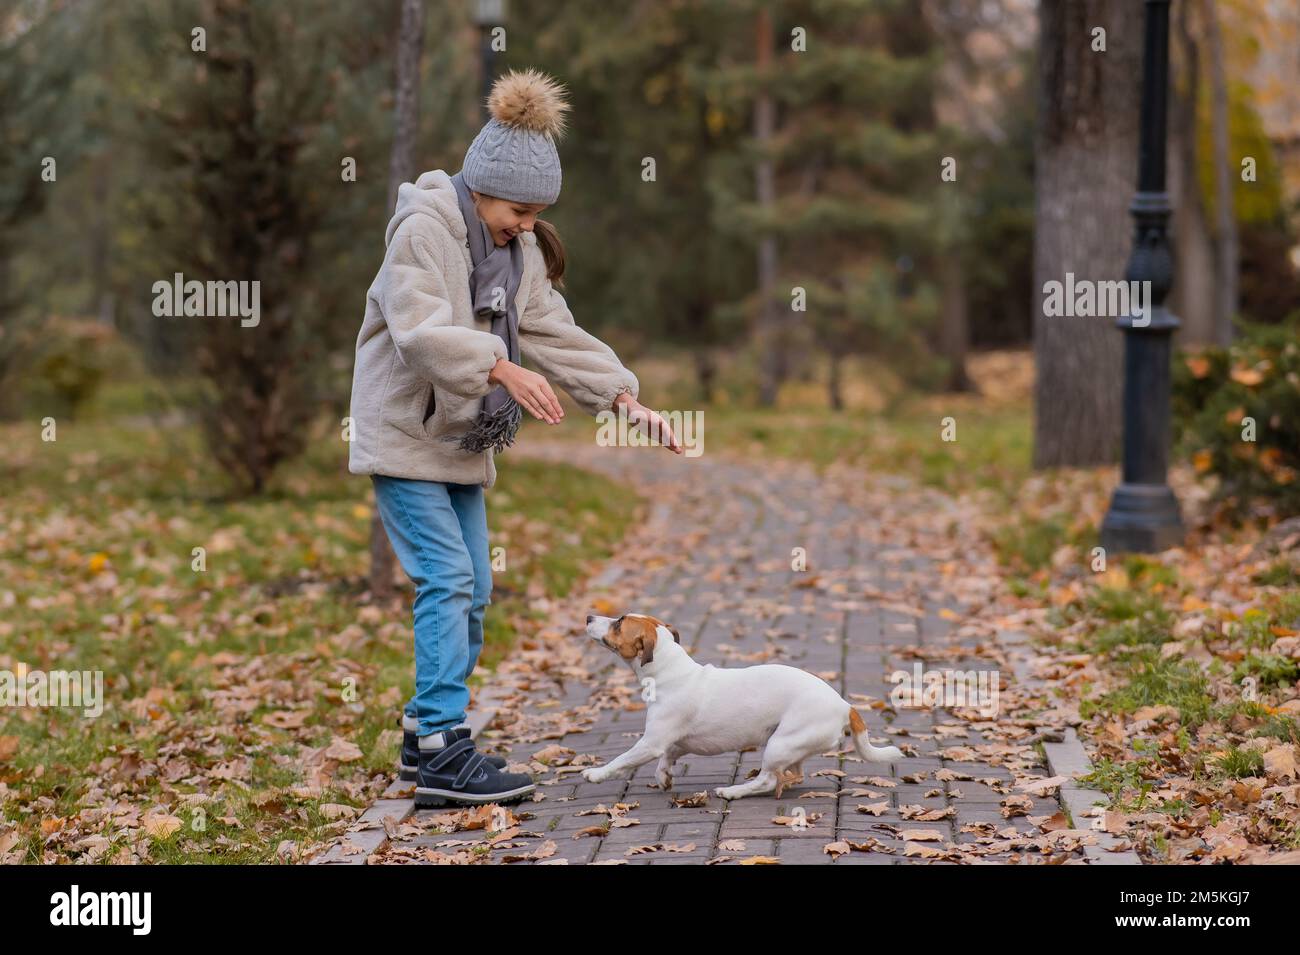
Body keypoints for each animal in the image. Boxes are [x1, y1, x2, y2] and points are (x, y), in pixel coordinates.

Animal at [582, 613, 904, 800]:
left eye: (619, 623)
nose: (588, 616)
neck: (671, 671)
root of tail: (844, 704)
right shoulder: (677, 741)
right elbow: (670, 754)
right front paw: (663, 776)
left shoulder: (651, 742)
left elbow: (622, 760)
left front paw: (596, 773)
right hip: (793, 746)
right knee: (792, 775)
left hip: (779, 745)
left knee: (767, 780)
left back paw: (733, 791)